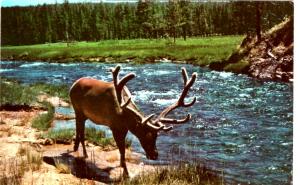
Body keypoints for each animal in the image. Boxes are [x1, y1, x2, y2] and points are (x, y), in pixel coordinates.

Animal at [69, 65, 198, 176]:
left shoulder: (124, 128)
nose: (155, 155)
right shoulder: (114, 127)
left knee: (79, 129)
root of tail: (73, 85)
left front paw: (121, 165)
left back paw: (76, 148)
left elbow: (123, 151)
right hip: (77, 109)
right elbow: (122, 150)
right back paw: (84, 153)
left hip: (83, 114)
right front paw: (126, 173)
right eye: (145, 135)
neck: (124, 116)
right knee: (81, 131)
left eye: (157, 136)